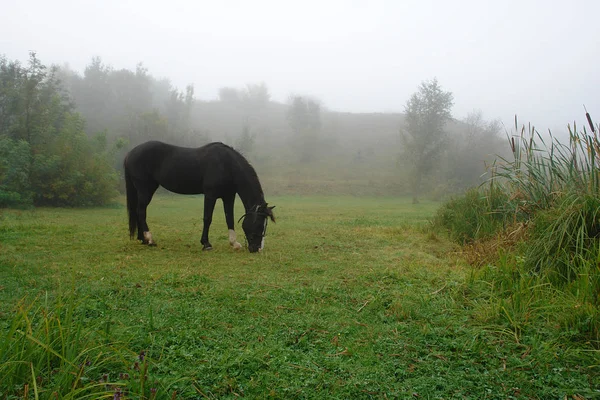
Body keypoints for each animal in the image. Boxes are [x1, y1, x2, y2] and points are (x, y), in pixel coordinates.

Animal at [123, 141, 276, 253]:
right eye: (258, 224)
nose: (257, 249)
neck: (226, 165)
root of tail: (130, 153)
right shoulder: (210, 195)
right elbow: (207, 218)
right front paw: (206, 244)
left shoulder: (228, 196)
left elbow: (229, 218)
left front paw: (234, 243)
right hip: (145, 190)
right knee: (141, 211)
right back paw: (149, 239)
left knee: (138, 212)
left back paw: (142, 239)